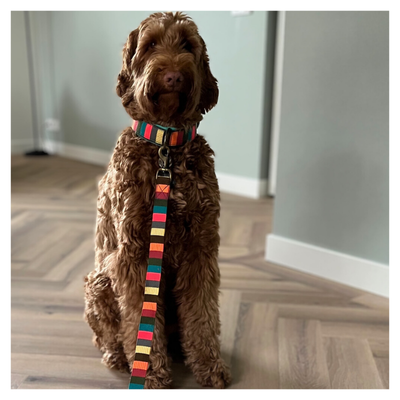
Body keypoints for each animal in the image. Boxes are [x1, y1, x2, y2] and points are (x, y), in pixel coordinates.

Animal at [84, 12, 231, 389]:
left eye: (188, 45)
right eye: (149, 46)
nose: (173, 75)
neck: (166, 145)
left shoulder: (200, 248)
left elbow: (203, 313)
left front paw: (209, 365)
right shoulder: (133, 256)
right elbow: (140, 320)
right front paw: (151, 372)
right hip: (98, 282)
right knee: (106, 335)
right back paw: (118, 357)